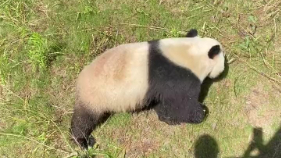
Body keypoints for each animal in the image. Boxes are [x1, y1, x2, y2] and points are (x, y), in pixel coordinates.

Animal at [70, 29, 225, 149]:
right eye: (223, 60)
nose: (222, 71)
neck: (190, 52)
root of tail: (79, 81)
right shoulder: (178, 76)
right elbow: (182, 103)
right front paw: (201, 112)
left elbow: (163, 102)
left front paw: (168, 118)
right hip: (95, 96)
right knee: (84, 119)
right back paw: (83, 141)